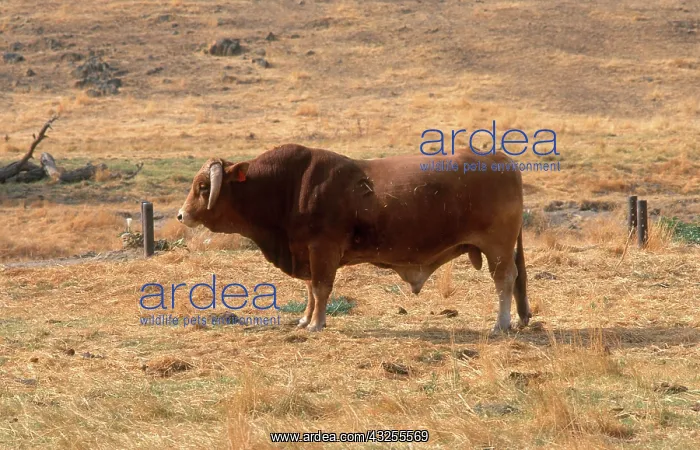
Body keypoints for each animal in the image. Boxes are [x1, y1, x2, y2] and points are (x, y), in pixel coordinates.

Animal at [177, 144, 531, 332]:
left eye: (203, 187)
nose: (181, 215)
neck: (290, 186)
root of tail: (503, 161)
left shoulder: (323, 250)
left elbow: (321, 289)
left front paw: (317, 323)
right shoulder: (307, 253)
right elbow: (310, 290)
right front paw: (305, 320)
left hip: (498, 248)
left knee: (505, 280)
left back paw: (501, 323)